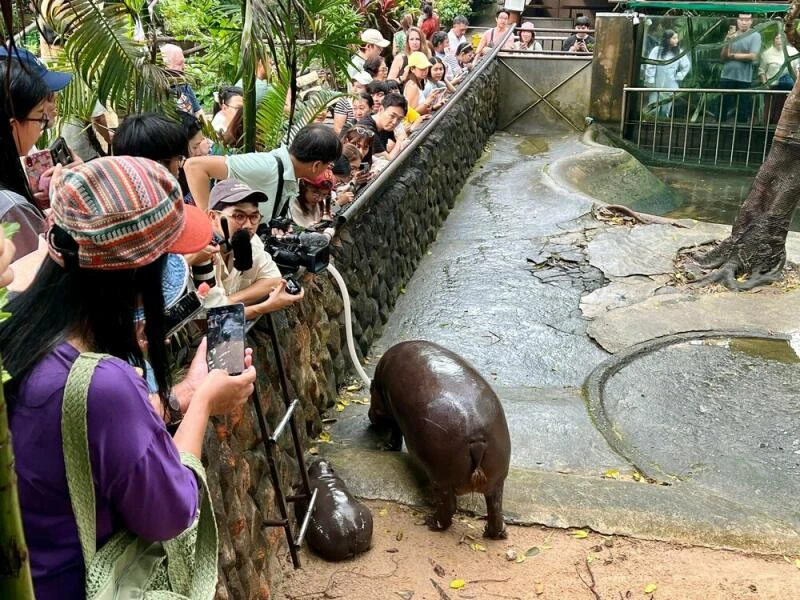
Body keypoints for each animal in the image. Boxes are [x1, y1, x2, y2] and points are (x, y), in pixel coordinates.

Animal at [368, 342, 510, 540]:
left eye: (370, 393)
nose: (370, 416)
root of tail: (478, 438)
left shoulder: (394, 413)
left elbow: (396, 435)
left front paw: (384, 447)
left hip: (440, 478)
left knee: (449, 507)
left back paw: (430, 523)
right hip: (497, 478)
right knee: (495, 508)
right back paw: (495, 533)